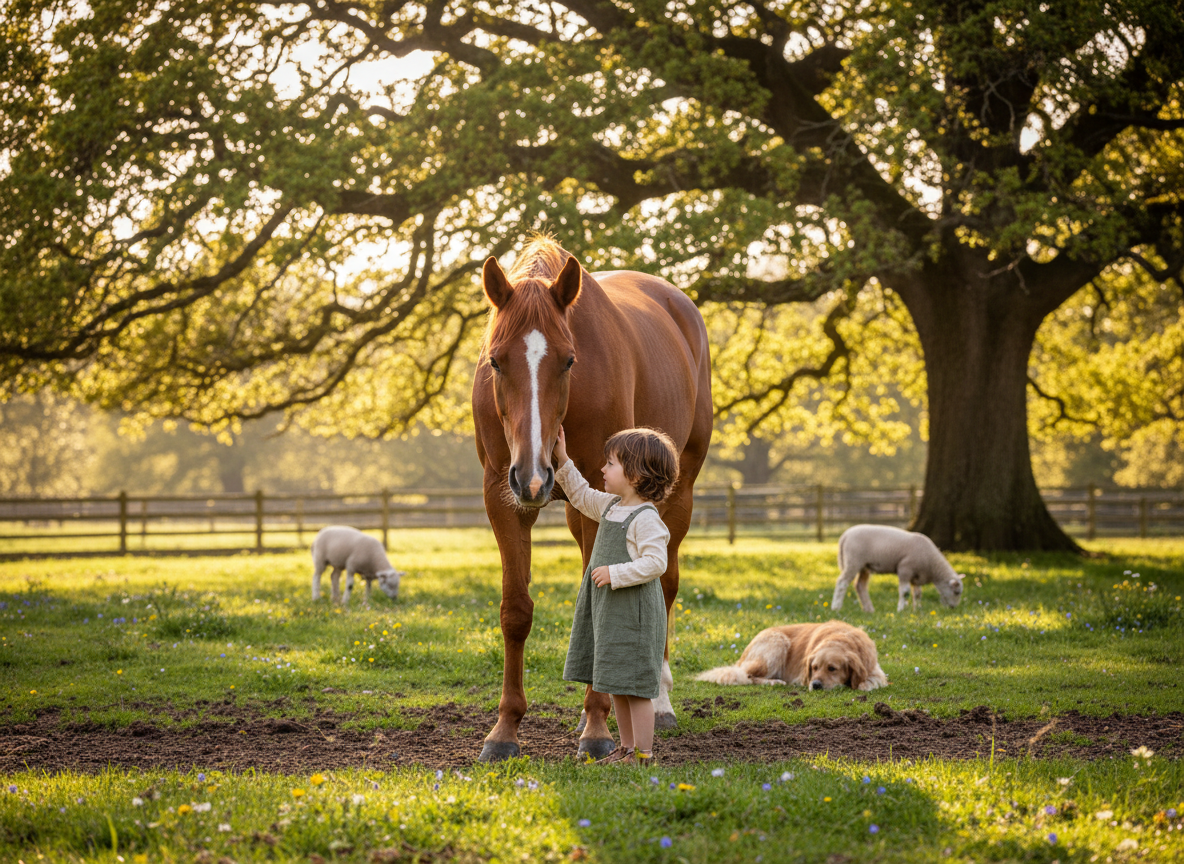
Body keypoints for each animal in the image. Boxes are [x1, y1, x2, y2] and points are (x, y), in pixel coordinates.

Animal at [472, 237, 713, 761]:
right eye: (496, 361)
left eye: (568, 360)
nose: (534, 476)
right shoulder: (502, 497)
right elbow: (515, 611)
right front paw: (504, 731)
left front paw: (598, 729)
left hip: (679, 495)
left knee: (665, 586)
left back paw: (657, 703)